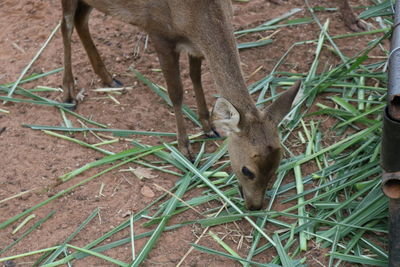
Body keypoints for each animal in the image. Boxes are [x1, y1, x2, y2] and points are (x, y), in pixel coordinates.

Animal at [60, 0, 300, 214]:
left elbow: (196, 77)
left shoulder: (194, 46)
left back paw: (108, 78)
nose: (255, 206)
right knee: (66, 24)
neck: (194, 16)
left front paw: (208, 126)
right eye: (247, 171)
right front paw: (185, 149)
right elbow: (176, 93)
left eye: (277, 167)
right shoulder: (158, 33)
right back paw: (69, 93)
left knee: (81, 21)